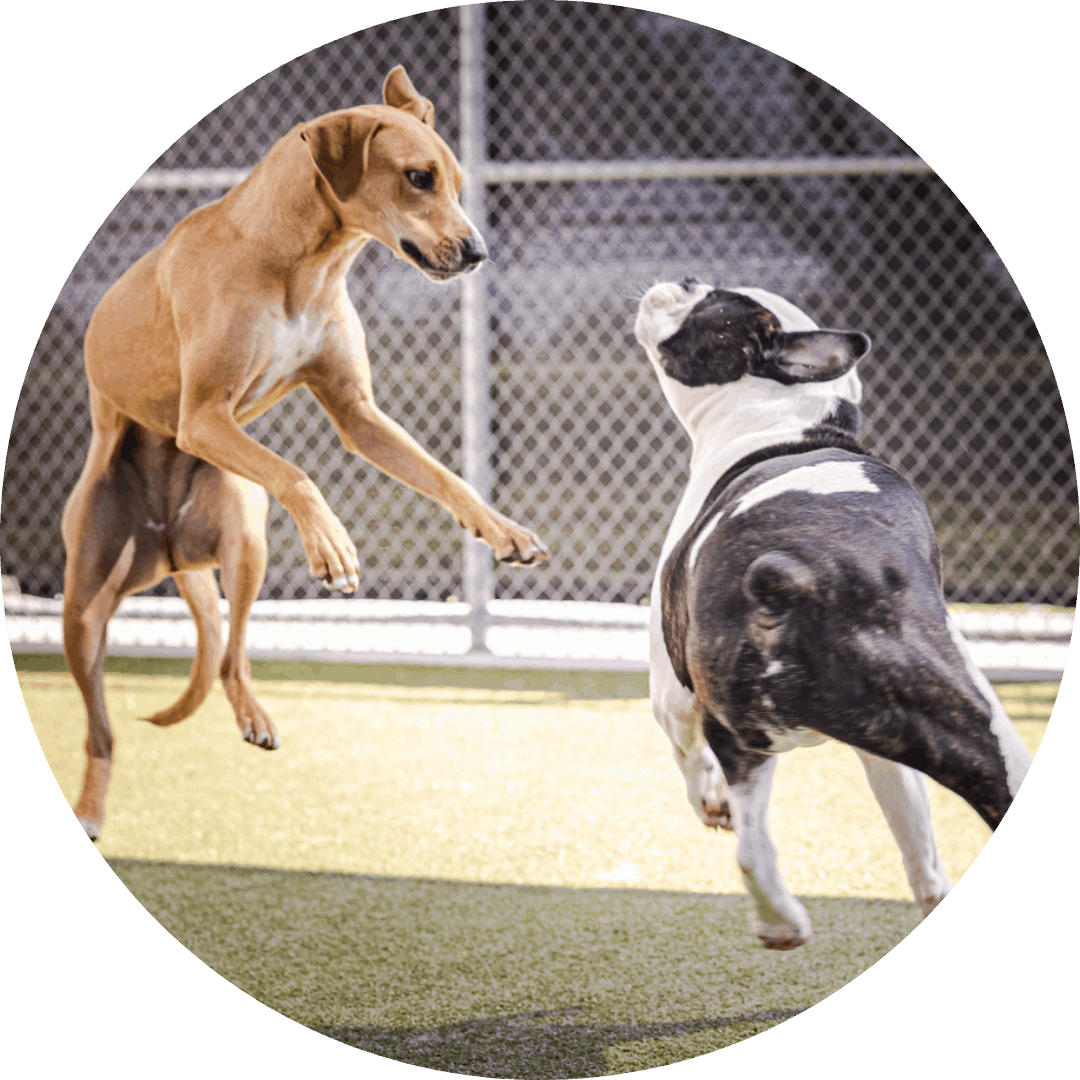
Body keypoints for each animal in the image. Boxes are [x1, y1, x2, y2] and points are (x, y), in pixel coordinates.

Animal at [62, 67, 544, 838]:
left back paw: (253, 715)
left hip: (242, 540)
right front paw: (332, 545)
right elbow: (297, 471)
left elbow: (444, 476)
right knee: (102, 729)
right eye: (418, 178)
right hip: (84, 603)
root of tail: (167, 548)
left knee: (231, 656)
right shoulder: (204, 417)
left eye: (458, 182)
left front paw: (502, 530)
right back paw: (92, 807)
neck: (299, 259)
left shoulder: (358, 414)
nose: (477, 254)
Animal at [635, 282, 1032, 950]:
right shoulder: (889, 758)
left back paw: (777, 917)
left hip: (741, 725)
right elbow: (916, 837)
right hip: (971, 726)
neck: (791, 421)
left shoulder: (673, 696)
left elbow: (686, 758)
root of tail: (803, 574)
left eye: (704, 297)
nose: (667, 283)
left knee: (747, 842)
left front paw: (708, 800)